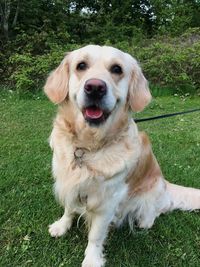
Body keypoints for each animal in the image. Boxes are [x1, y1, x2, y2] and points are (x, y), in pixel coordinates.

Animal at [44, 45, 200, 267]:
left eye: (116, 69)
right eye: (81, 65)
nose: (95, 87)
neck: (88, 146)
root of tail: (165, 185)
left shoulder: (108, 200)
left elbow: (95, 235)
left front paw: (92, 259)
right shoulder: (68, 180)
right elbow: (69, 206)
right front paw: (62, 225)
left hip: (148, 201)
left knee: (153, 214)